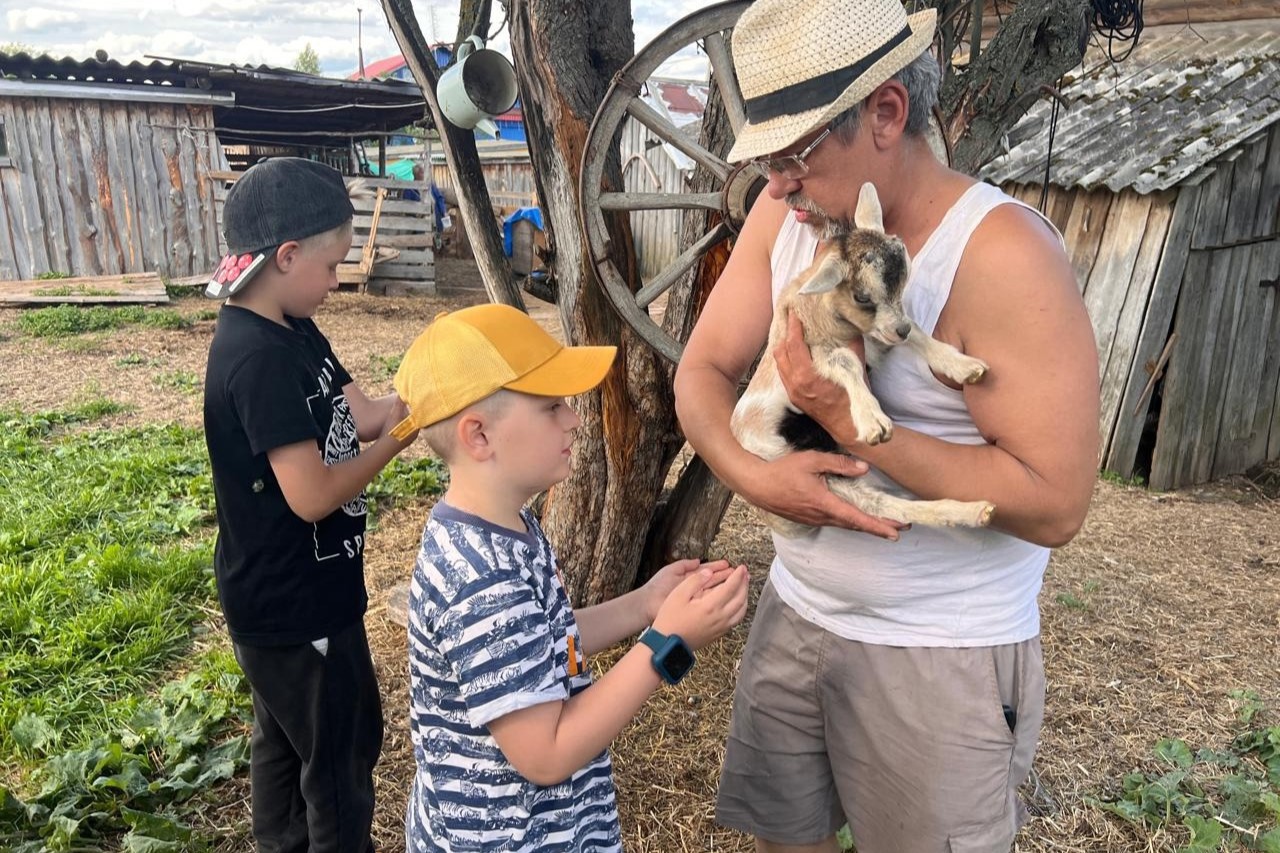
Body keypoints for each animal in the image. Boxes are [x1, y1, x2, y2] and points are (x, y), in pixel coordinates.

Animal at [729, 182, 996, 538]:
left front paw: (965, 367)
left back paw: (975, 511)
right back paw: (968, 511)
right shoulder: (813, 353)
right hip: (810, 469)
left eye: (905, 280)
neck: (825, 310)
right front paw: (873, 421)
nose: (898, 329)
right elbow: (847, 362)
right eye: (862, 296)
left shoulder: (879, 335)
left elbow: (917, 333)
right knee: (878, 503)